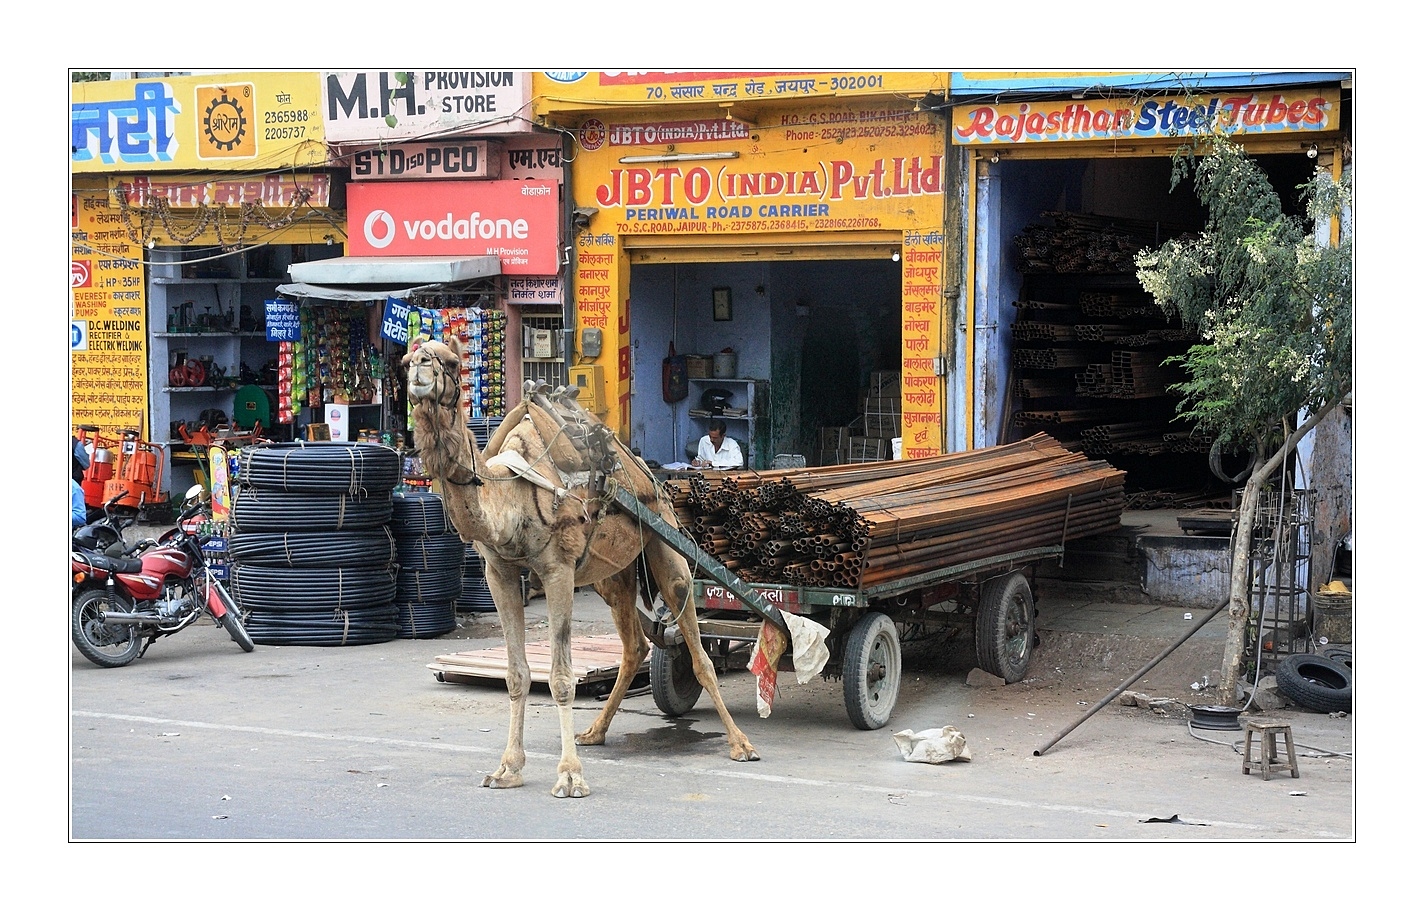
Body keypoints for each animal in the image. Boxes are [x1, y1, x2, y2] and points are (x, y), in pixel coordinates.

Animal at [401, 335, 757, 797]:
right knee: (635, 645)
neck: (512, 491)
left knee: (699, 652)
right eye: (406, 360)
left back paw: (741, 744)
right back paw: (595, 731)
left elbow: (561, 677)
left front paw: (570, 775)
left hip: (666, 547)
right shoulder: (499, 572)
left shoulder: (559, 569)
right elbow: (517, 674)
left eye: (449, 361)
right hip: (612, 575)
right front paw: (507, 769)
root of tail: (654, 482)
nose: (420, 371)